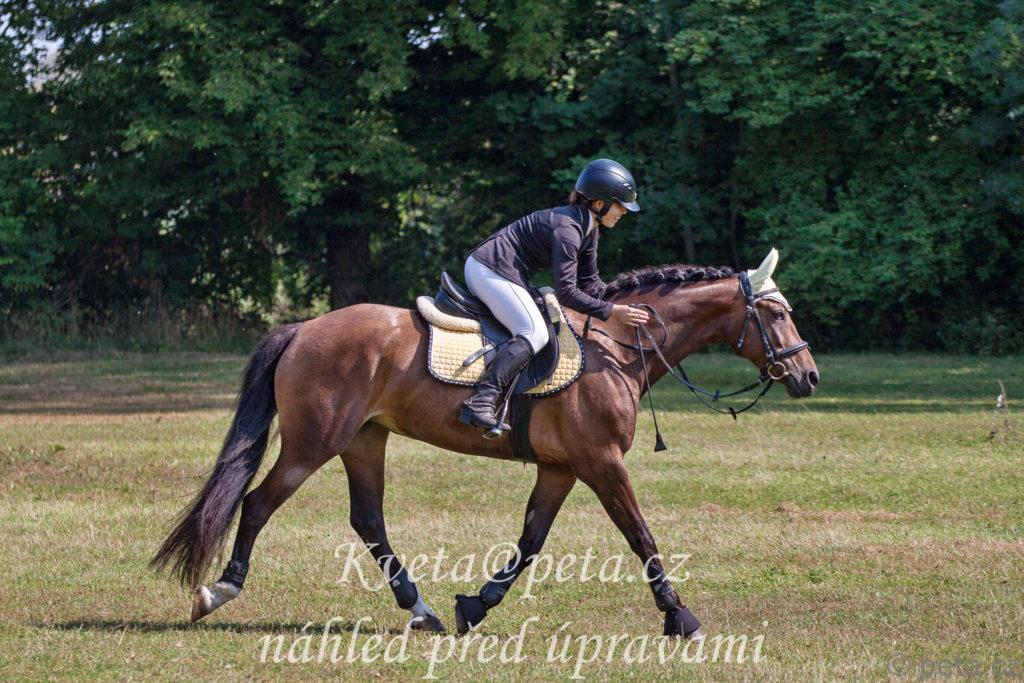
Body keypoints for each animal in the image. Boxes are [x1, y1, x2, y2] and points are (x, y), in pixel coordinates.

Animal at [152, 249, 818, 638]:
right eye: (777, 314)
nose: (809, 376)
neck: (617, 350)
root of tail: (302, 329)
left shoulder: (562, 468)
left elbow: (530, 542)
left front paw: (474, 606)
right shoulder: (601, 463)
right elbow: (640, 536)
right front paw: (680, 617)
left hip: (364, 440)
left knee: (368, 518)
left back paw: (422, 611)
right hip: (312, 443)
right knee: (259, 503)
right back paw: (219, 589)